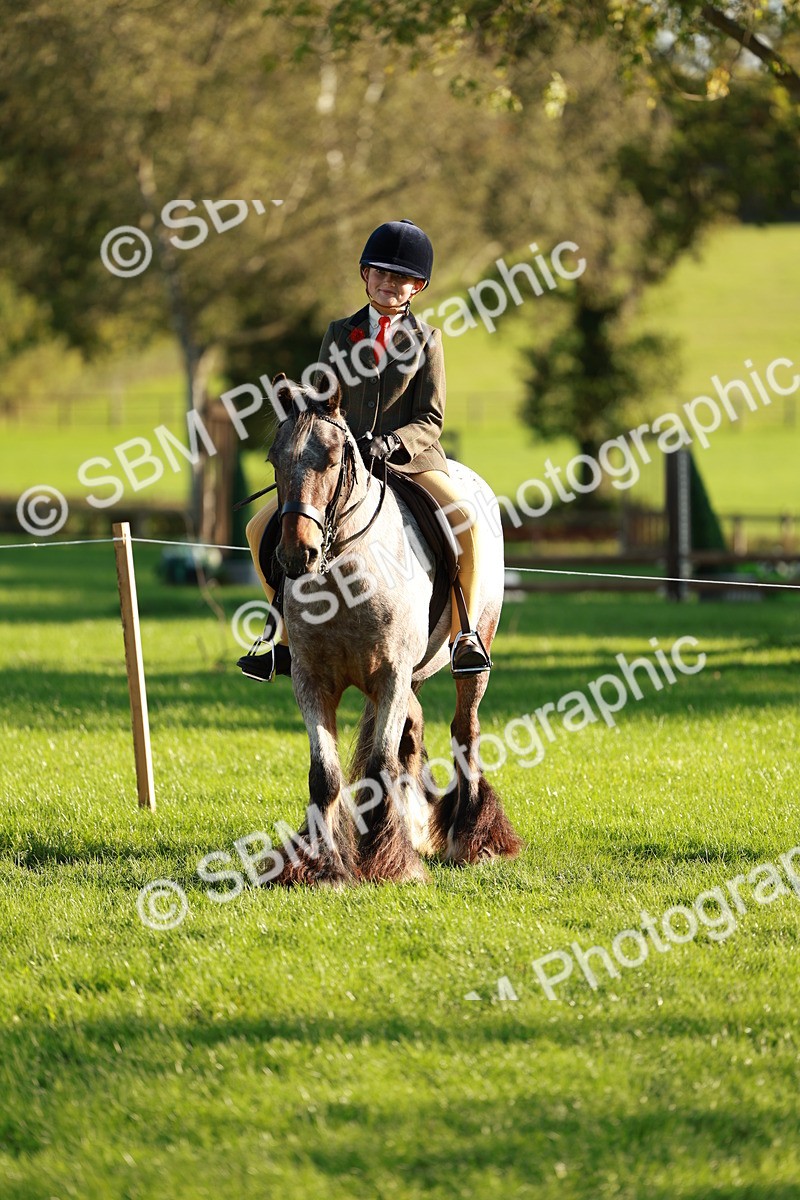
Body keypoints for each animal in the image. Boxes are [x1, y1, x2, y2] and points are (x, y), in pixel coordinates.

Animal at [255, 381, 523, 885]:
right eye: (274, 459)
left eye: (333, 458)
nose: (297, 554)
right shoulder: (311, 680)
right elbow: (326, 774)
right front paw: (321, 866)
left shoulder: (392, 675)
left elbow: (380, 764)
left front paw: (389, 864)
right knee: (412, 734)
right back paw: (416, 825)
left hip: (471, 653)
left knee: (465, 729)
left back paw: (473, 838)